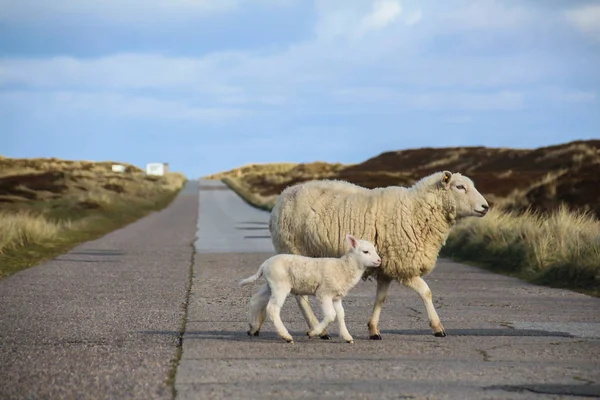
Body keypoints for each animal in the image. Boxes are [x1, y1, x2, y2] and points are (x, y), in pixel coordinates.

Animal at [238, 234, 380, 344]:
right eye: (365, 252)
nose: (379, 260)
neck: (343, 268)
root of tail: (264, 264)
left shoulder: (336, 297)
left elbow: (341, 314)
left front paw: (347, 336)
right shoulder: (324, 293)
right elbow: (331, 315)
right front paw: (314, 332)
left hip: (271, 285)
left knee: (256, 299)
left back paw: (253, 327)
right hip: (280, 285)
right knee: (272, 308)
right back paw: (286, 336)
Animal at [270, 170, 490, 340]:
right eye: (460, 187)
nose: (486, 207)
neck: (416, 210)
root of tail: (282, 196)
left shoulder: (386, 266)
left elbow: (381, 299)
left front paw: (373, 329)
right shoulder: (403, 265)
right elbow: (426, 292)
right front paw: (437, 327)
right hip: (293, 250)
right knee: (301, 297)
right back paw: (319, 330)